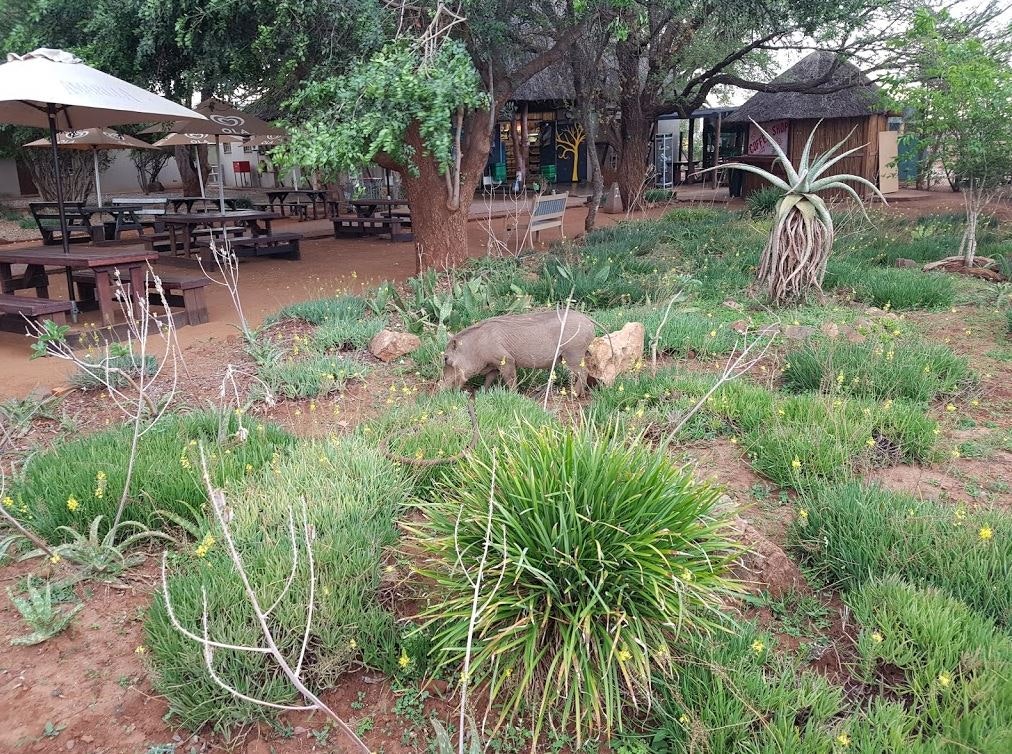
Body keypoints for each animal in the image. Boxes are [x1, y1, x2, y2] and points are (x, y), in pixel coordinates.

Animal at [437, 310, 595, 396]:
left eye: (446, 358)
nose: (439, 389)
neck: (475, 347)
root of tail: (588, 320)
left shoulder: (506, 360)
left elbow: (510, 380)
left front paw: (513, 395)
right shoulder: (494, 365)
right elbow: (489, 379)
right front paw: (482, 392)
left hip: (573, 356)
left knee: (584, 372)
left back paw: (575, 394)